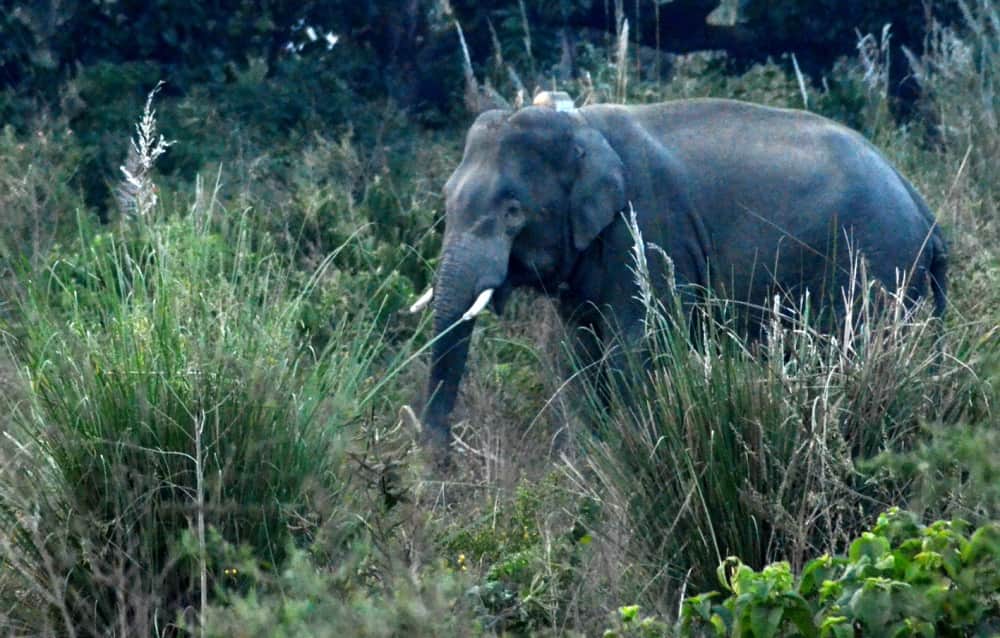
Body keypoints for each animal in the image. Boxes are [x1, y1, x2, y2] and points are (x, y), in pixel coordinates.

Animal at [414, 97, 948, 452]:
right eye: (446, 196)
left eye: (513, 212)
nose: (441, 462)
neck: (581, 124)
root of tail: (924, 210)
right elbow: (577, 357)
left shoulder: (648, 231)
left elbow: (635, 350)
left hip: (876, 268)